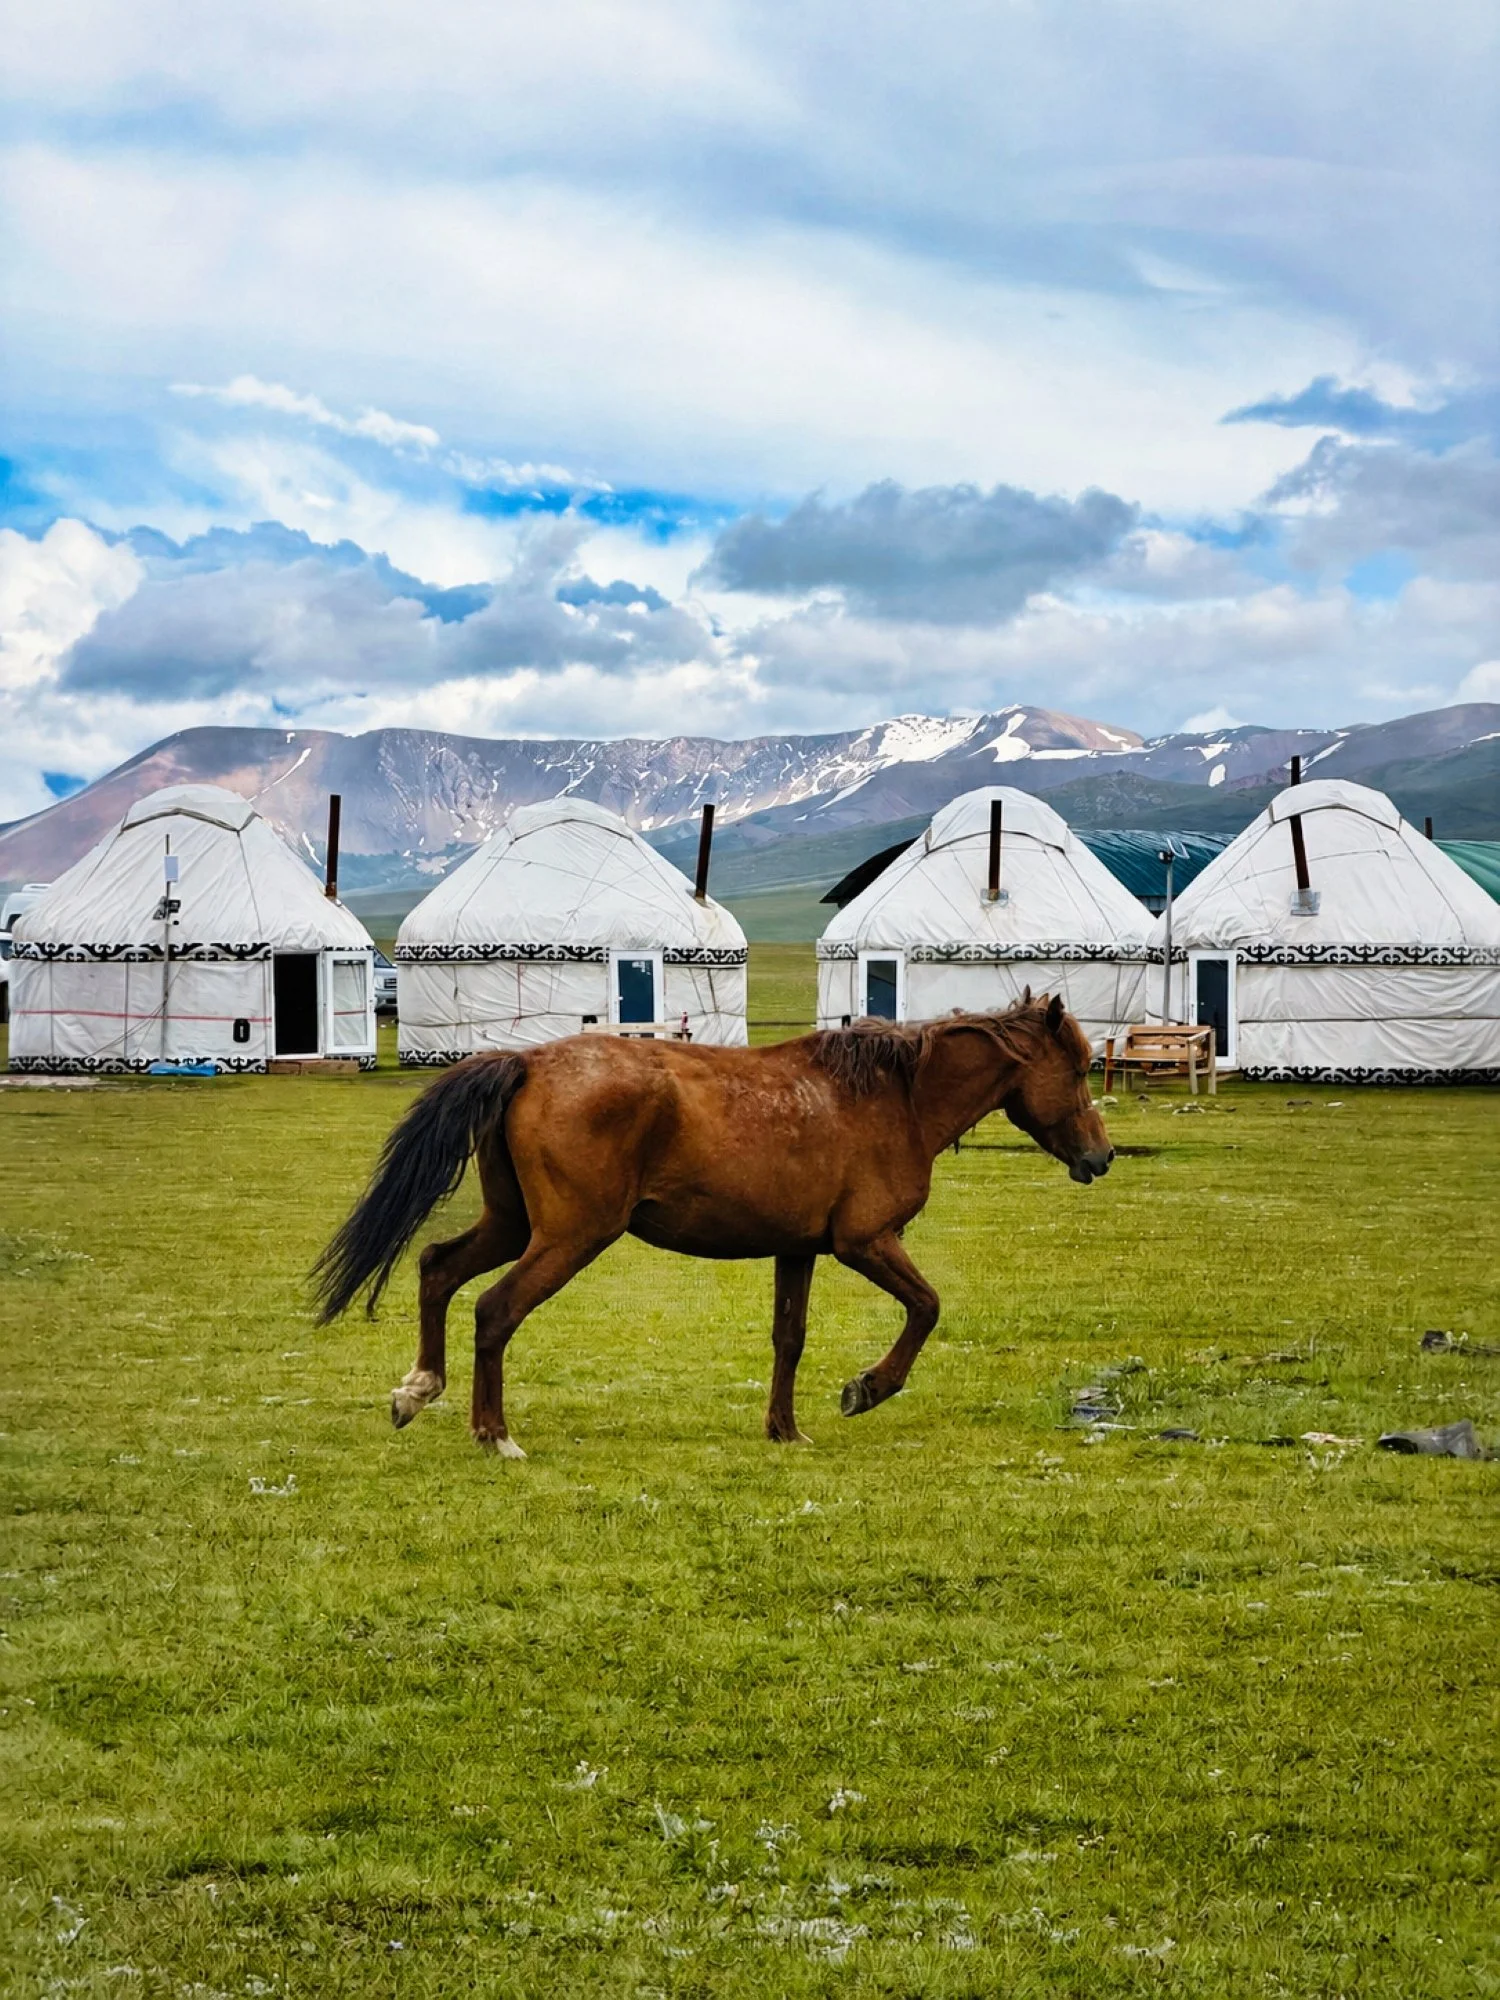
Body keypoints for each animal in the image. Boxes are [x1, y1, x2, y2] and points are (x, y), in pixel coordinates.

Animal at [313, 993, 1115, 1456]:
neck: (896, 1098)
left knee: (438, 1268)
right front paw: (866, 1389)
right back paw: (494, 1434)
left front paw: (784, 1429)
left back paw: (418, 1389)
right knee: (494, 1309)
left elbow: (790, 1339)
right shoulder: (865, 1243)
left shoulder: (799, 1251)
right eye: (1078, 1069)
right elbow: (926, 1307)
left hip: (512, 1226)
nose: (1101, 1157)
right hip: (569, 1238)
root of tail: (528, 1062)